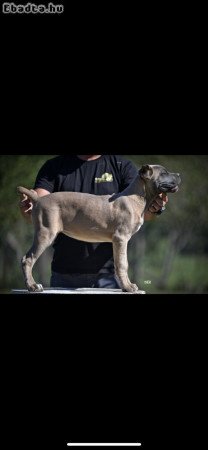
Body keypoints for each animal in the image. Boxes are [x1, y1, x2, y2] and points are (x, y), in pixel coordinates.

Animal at [17, 163, 180, 294]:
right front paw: (127, 287)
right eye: (164, 173)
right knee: (28, 259)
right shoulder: (121, 238)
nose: (179, 175)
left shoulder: (119, 240)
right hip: (45, 232)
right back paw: (32, 286)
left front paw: (127, 286)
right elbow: (122, 264)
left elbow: (122, 263)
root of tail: (38, 198)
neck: (137, 196)